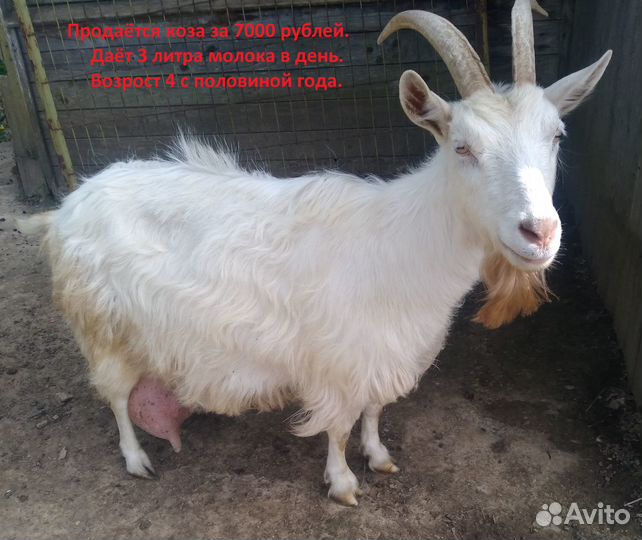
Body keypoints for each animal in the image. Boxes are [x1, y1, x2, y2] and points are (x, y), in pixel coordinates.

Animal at [22, 0, 610, 505]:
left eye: (557, 136)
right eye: (462, 147)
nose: (539, 232)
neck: (403, 238)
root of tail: (66, 208)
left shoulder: (385, 351)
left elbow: (374, 410)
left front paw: (379, 456)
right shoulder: (336, 359)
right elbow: (339, 425)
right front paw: (343, 482)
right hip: (101, 326)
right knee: (116, 396)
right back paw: (136, 459)